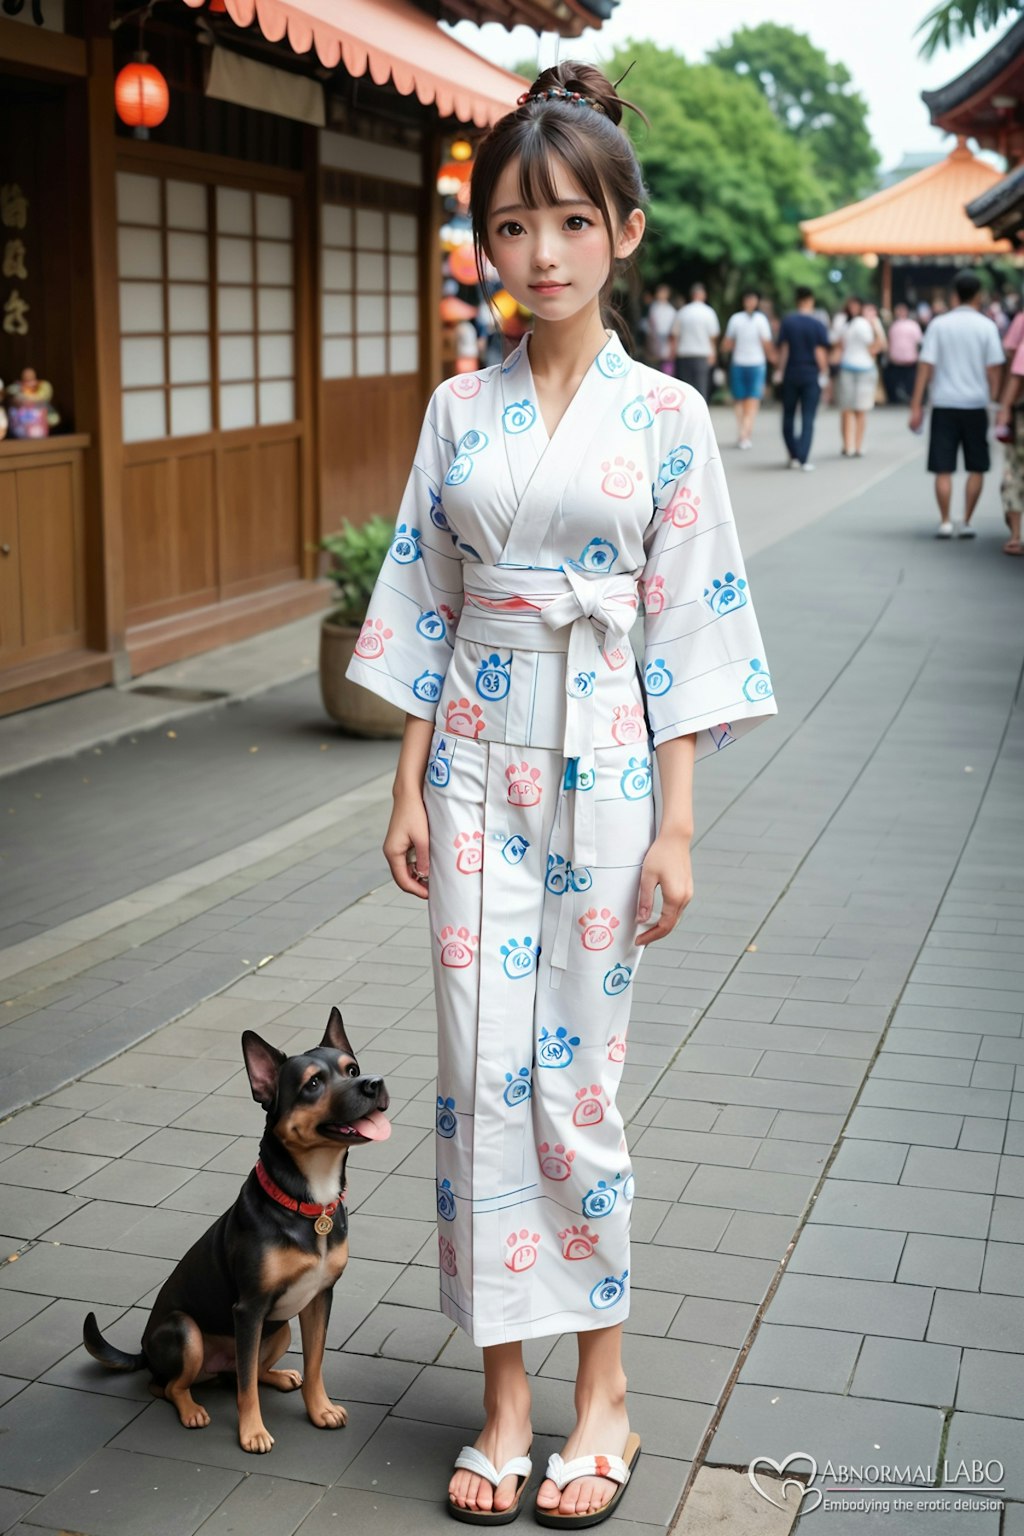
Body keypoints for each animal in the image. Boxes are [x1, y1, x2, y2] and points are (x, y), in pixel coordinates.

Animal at [80, 1007, 388, 1449]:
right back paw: (191, 1409)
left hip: (279, 1330)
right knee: (172, 1385)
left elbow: (315, 1363)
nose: (374, 1082)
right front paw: (253, 1432)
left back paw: (278, 1376)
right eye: (313, 1083)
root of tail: (144, 1352)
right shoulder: (249, 1309)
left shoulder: (318, 1298)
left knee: (245, 1372)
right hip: (186, 1331)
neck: (308, 1200)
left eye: (353, 1068)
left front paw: (320, 1410)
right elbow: (245, 1390)